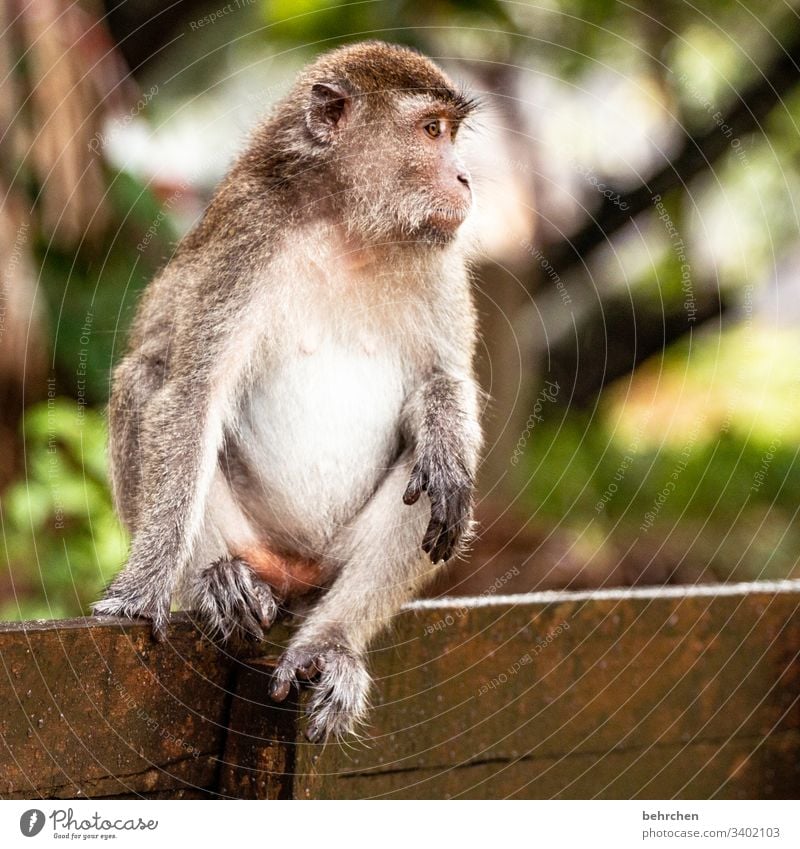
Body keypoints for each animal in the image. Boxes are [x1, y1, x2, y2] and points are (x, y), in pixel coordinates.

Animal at [94, 41, 482, 744]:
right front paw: (142, 590)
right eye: (431, 131)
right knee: (146, 379)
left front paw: (443, 442)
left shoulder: (440, 258)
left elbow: (444, 382)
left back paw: (329, 644)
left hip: (332, 567)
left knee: (436, 485)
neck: (349, 229)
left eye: (450, 132)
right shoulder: (249, 239)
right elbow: (193, 393)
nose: (465, 180)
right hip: (254, 543)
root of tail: (294, 572)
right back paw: (220, 582)